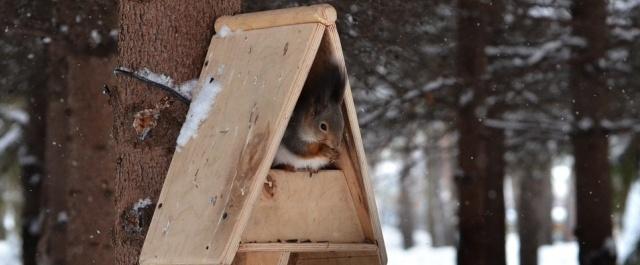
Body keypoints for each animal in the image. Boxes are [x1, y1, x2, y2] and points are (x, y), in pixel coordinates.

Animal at [114, 41, 344, 171]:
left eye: (342, 125)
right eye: (323, 126)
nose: (336, 144)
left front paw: (334, 153)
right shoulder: (292, 133)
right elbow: (302, 150)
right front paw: (325, 150)